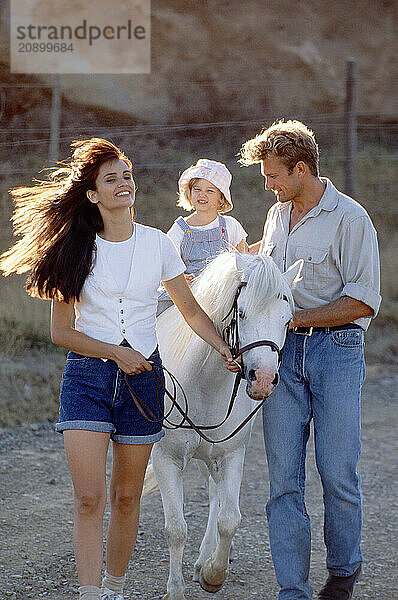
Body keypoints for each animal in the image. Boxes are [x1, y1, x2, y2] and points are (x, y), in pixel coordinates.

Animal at [153, 252, 302, 600]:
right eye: (241, 313)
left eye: (287, 321)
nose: (263, 380)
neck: (202, 383)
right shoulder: (166, 459)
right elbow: (175, 528)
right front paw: (175, 589)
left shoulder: (231, 455)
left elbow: (229, 519)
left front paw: (213, 574)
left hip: (212, 458)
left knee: (215, 498)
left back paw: (203, 561)